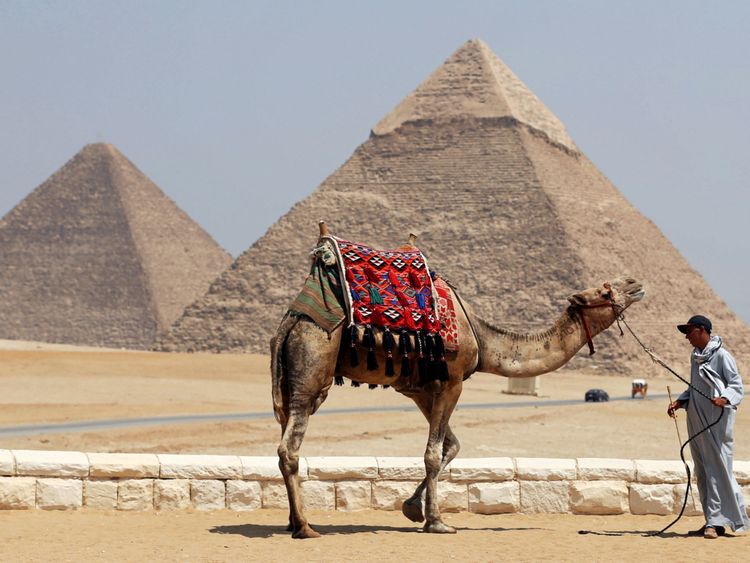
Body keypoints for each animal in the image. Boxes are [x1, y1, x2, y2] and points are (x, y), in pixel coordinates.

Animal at [270, 229, 644, 539]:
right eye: (604, 290)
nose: (635, 282)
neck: (482, 338)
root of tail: (289, 322)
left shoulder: (421, 389)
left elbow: (450, 446)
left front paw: (412, 508)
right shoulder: (452, 382)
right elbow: (434, 454)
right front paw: (437, 521)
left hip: (293, 379)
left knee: (285, 434)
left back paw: (291, 520)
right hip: (313, 362)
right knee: (289, 447)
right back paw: (304, 526)